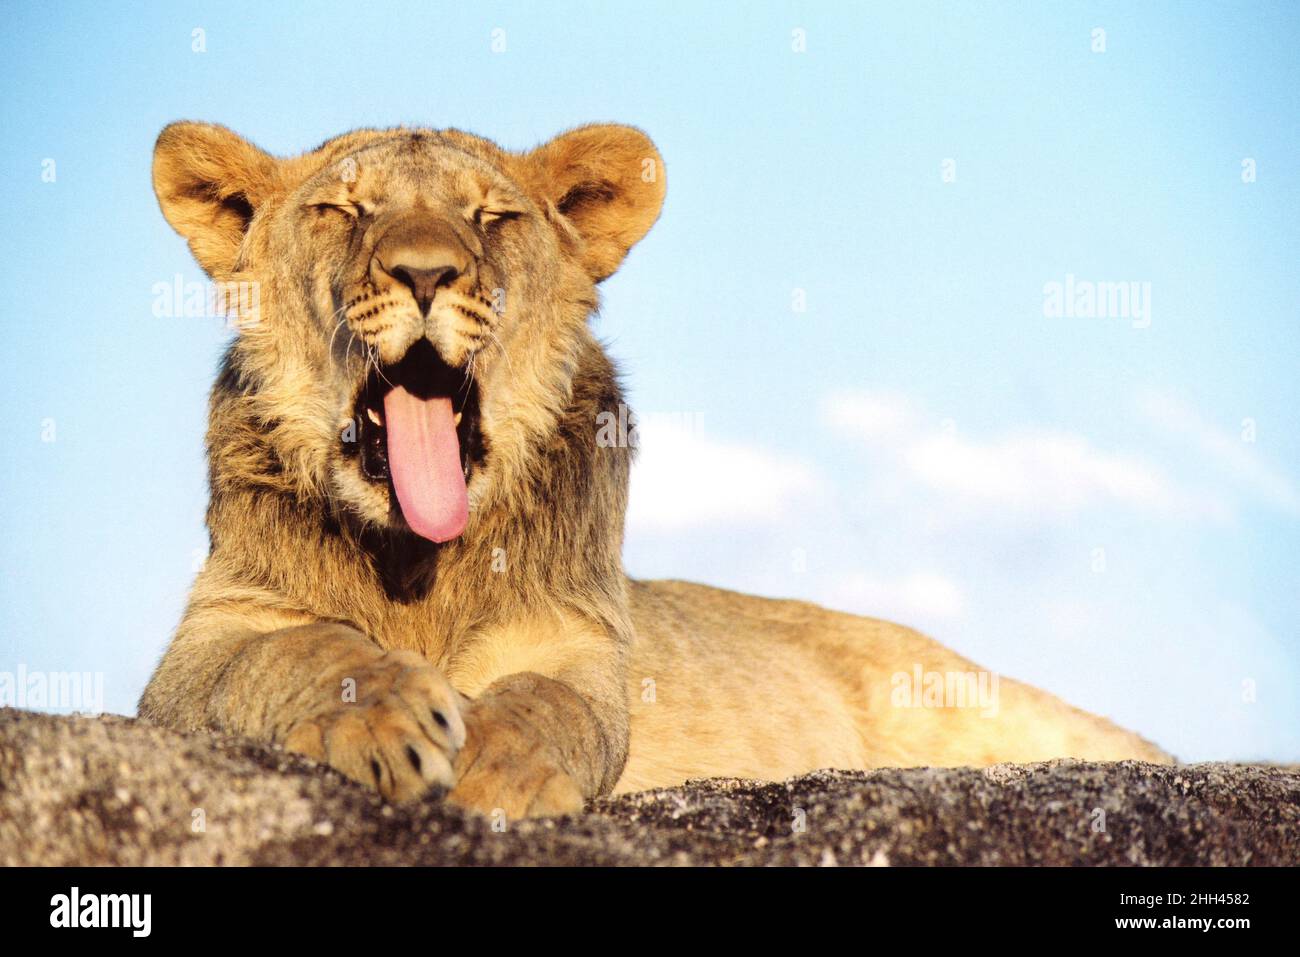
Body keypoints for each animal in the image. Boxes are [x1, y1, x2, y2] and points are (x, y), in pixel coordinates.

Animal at [139, 121, 1171, 819]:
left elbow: (545, 702)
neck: (416, 567)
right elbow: (303, 649)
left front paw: (496, 771)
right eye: (340, 209)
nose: (425, 272)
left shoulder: (582, 646)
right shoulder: (197, 657)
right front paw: (388, 718)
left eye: (493, 218)